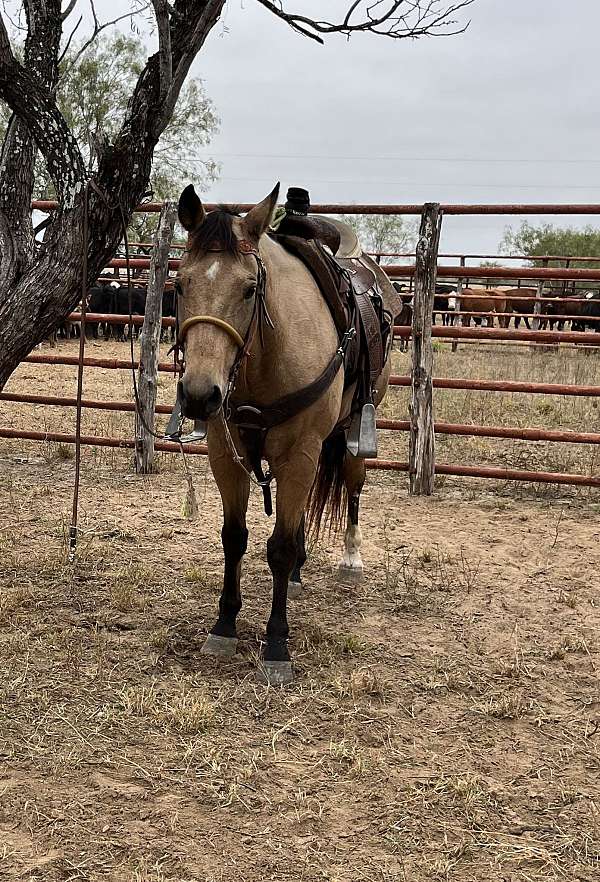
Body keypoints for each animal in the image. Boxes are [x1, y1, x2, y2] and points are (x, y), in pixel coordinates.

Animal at [175, 184, 398, 680]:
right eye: (179, 284)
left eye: (249, 288)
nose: (199, 395)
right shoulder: (227, 452)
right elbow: (235, 537)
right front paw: (224, 625)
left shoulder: (300, 453)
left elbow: (277, 547)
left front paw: (277, 644)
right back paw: (297, 573)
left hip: (352, 432)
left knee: (353, 486)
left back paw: (350, 558)